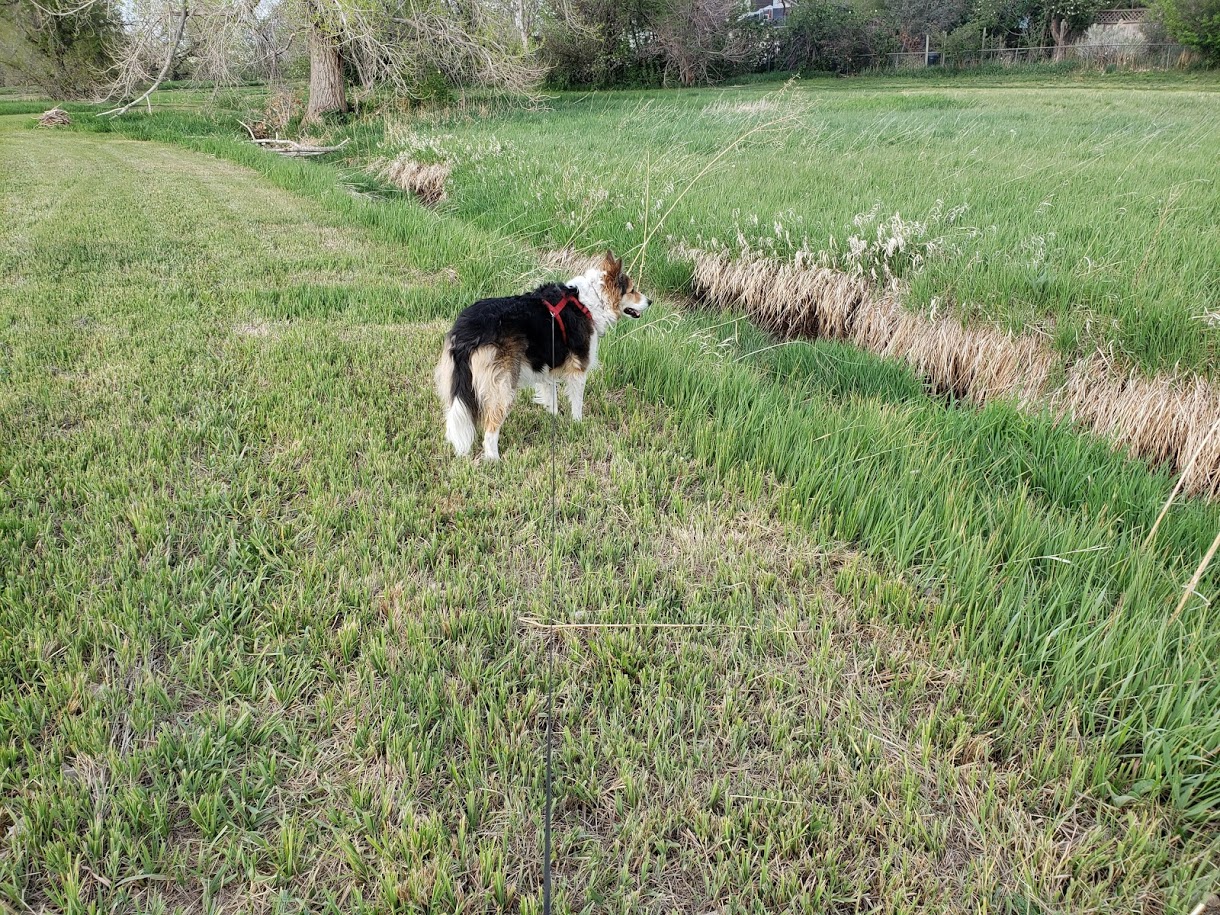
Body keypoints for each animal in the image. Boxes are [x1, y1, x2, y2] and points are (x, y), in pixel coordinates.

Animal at [434, 251, 649, 461]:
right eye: (632, 290)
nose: (650, 301)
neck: (592, 301)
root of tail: (466, 333)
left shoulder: (547, 366)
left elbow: (551, 398)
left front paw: (555, 420)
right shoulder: (578, 369)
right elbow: (577, 403)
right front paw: (578, 424)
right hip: (503, 385)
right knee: (490, 428)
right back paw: (494, 459)